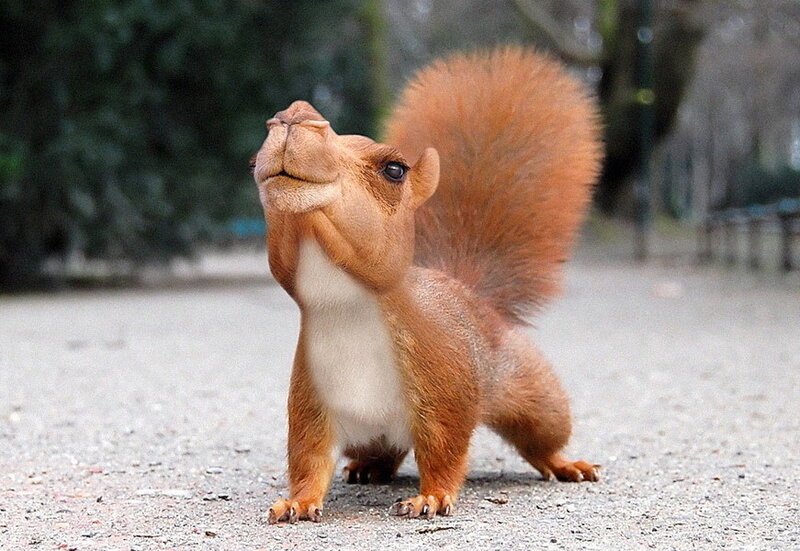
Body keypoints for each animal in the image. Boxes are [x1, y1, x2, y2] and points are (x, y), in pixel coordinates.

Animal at [252, 47, 602, 524]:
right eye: (252, 165)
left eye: (395, 169)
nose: (294, 116)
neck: (347, 306)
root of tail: (466, 291)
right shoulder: (311, 395)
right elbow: (307, 455)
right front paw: (298, 501)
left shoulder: (444, 381)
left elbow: (444, 449)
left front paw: (431, 497)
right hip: (370, 432)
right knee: (383, 450)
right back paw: (367, 468)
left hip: (532, 391)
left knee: (542, 436)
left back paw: (565, 463)